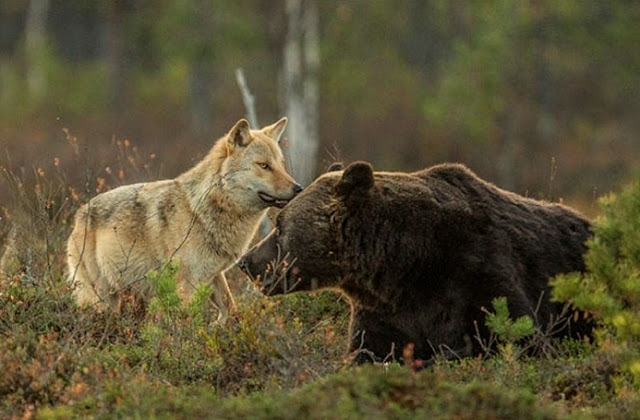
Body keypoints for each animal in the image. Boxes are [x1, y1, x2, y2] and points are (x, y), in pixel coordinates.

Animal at [67, 117, 301, 322]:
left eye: (280, 165)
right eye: (264, 166)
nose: (298, 188)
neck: (200, 210)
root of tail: (79, 214)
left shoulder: (214, 275)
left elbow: (231, 309)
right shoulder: (186, 284)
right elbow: (186, 322)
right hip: (100, 297)